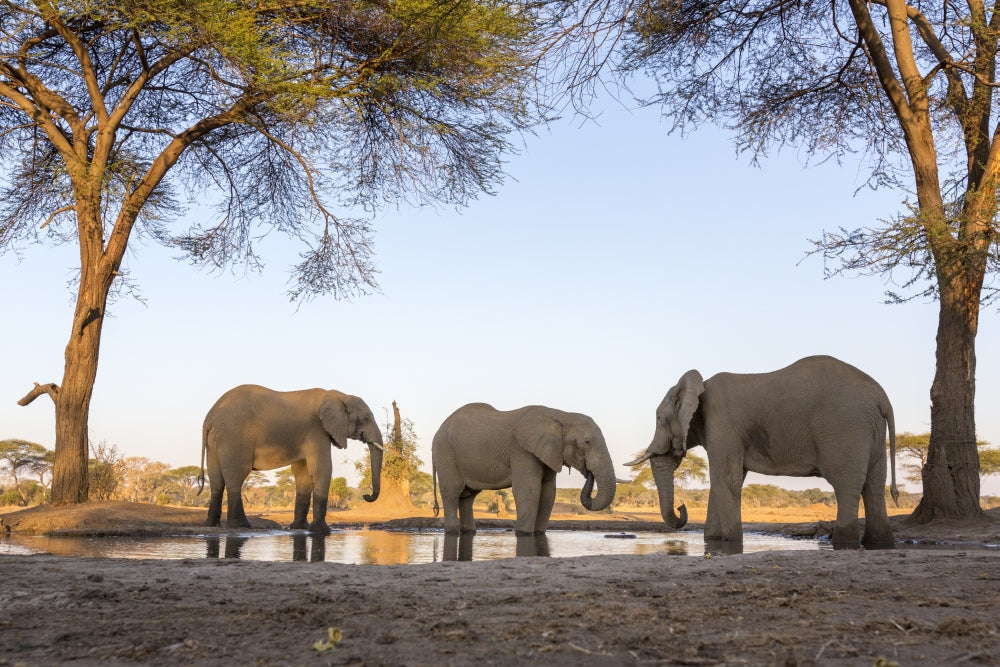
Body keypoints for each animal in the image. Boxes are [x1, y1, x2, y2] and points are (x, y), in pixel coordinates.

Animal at [199, 385, 384, 534]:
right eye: (365, 419)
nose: (366, 495)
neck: (340, 396)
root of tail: (209, 417)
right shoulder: (316, 430)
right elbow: (322, 469)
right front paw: (321, 531)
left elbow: (303, 474)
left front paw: (299, 528)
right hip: (234, 437)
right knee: (236, 477)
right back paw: (240, 526)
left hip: (216, 441)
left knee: (216, 480)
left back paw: (211, 524)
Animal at [432, 403, 617, 536]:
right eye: (587, 442)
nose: (588, 472)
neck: (561, 415)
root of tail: (439, 428)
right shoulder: (522, 450)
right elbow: (529, 490)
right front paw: (523, 534)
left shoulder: (549, 452)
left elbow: (548, 494)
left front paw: (538, 534)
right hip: (445, 452)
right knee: (452, 492)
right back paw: (452, 532)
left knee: (467, 497)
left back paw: (469, 532)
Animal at [627, 356, 898, 549]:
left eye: (659, 418)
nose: (682, 506)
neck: (697, 387)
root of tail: (881, 396)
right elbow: (724, 481)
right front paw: (712, 541)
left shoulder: (722, 423)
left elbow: (726, 479)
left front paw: (730, 543)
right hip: (869, 429)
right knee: (874, 485)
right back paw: (879, 544)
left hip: (845, 427)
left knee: (846, 485)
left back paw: (844, 544)